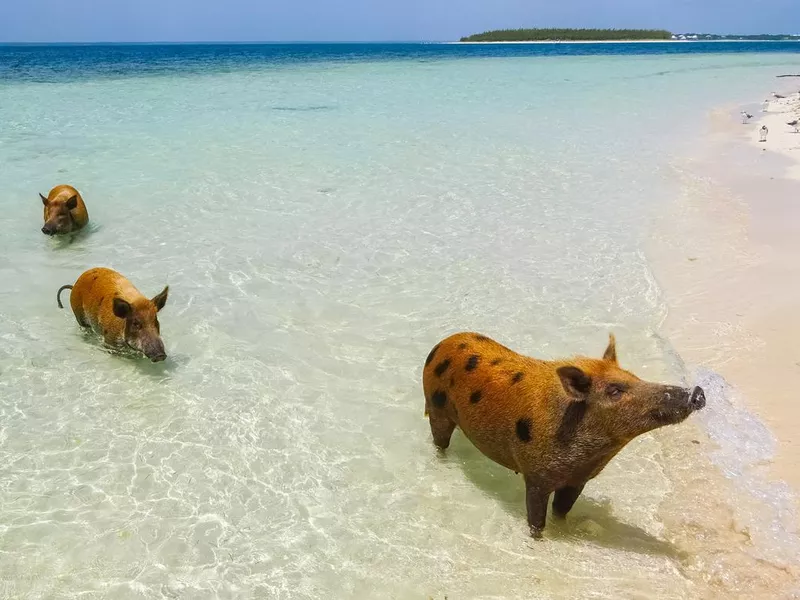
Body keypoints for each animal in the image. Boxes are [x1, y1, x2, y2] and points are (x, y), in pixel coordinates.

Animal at [422, 332, 704, 540]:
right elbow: (536, 520)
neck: (590, 454)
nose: (697, 392)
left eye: (635, 377)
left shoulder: (578, 480)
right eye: (614, 390)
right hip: (436, 407)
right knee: (439, 440)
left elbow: (561, 511)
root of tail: (443, 343)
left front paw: (567, 528)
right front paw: (537, 540)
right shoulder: (536, 475)